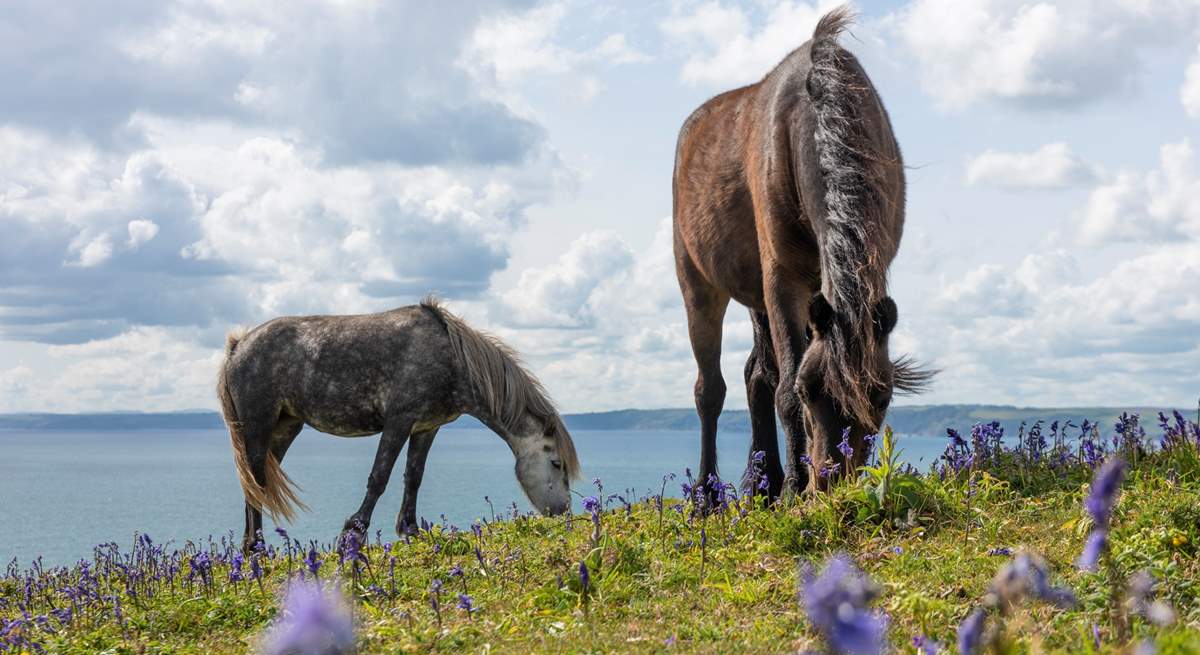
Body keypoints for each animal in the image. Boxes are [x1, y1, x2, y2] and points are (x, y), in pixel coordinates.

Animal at [222, 298, 585, 547]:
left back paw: (251, 547)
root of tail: (239, 346)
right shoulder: (398, 421)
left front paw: (410, 529)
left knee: (257, 484)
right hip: (257, 426)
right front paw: (353, 533)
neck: (451, 358)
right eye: (556, 463)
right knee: (254, 480)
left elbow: (414, 477)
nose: (563, 512)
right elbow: (379, 477)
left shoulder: (425, 427)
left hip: (285, 427)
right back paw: (255, 548)